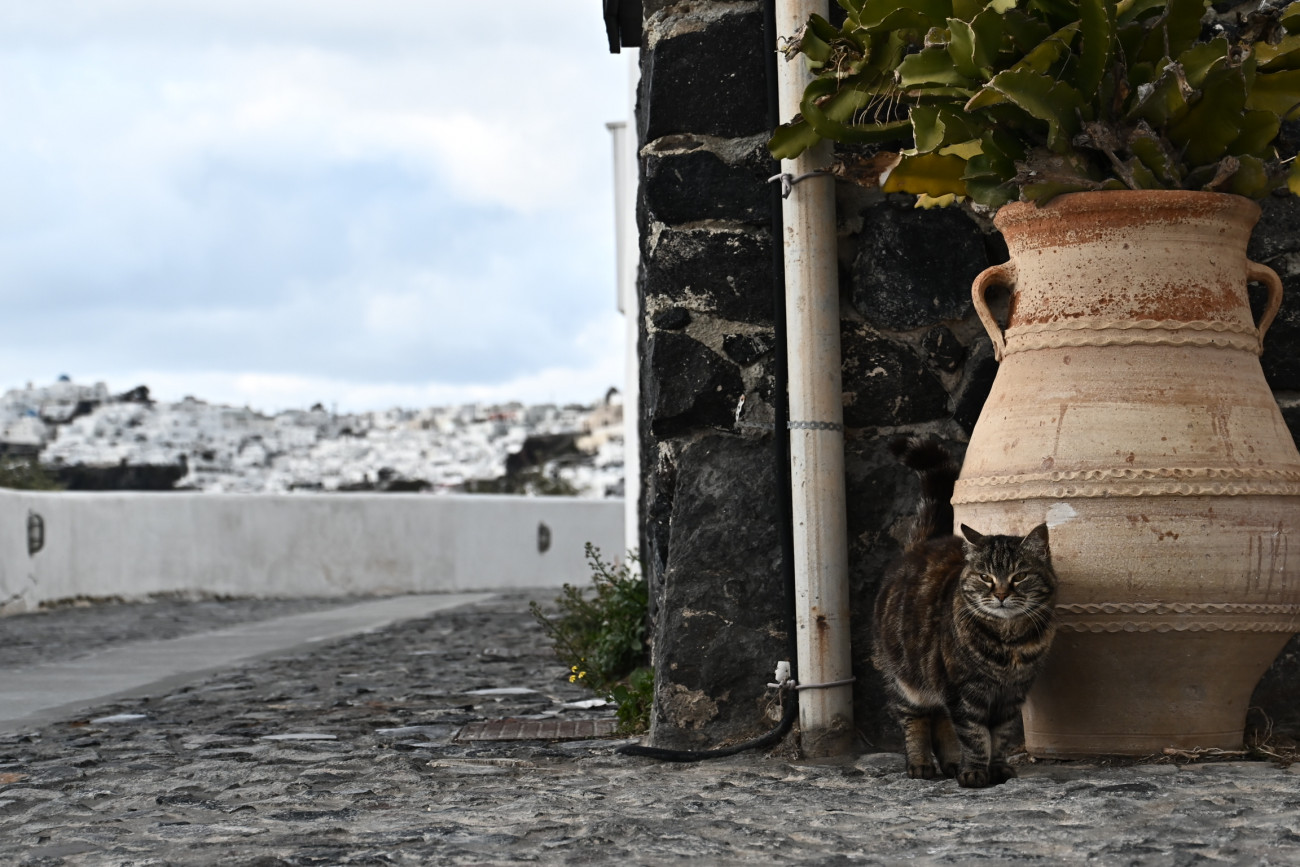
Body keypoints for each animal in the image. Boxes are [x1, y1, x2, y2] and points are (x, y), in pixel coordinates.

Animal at [873, 436, 1055, 790]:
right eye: (985, 577)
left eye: (1019, 576)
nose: (1000, 594)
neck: (1009, 643)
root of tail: (922, 544)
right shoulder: (965, 691)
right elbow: (974, 736)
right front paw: (973, 773)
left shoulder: (1010, 696)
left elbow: (999, 736)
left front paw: (997, 769)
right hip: (906, 679)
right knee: (915, 719)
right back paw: (920, 764)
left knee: (942, 720)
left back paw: (950, 763)